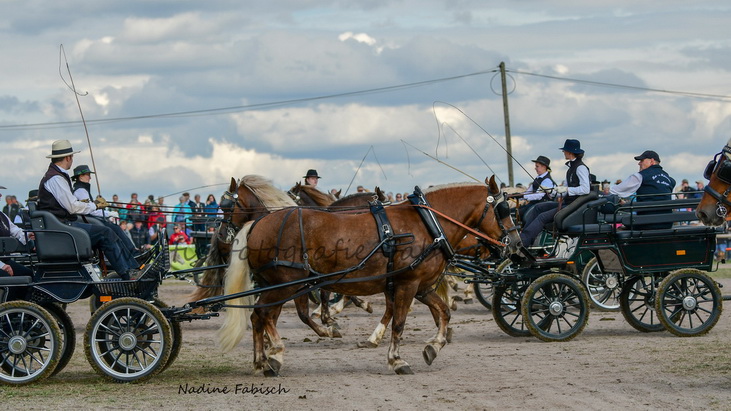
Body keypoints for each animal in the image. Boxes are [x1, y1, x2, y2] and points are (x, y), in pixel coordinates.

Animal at [218, 176, 522, 375]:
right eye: (503, 210)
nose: (516, 244)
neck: (427, 224)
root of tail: (258, 222)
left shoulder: (421, 286)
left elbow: (443, 312)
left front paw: (434, 347)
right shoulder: (407, 284)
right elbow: (399, 323)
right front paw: (397, 360)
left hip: (276, 284)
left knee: (259, 317)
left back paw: (261, 361)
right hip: (285, 283)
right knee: (263, 315)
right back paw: (274, 357)